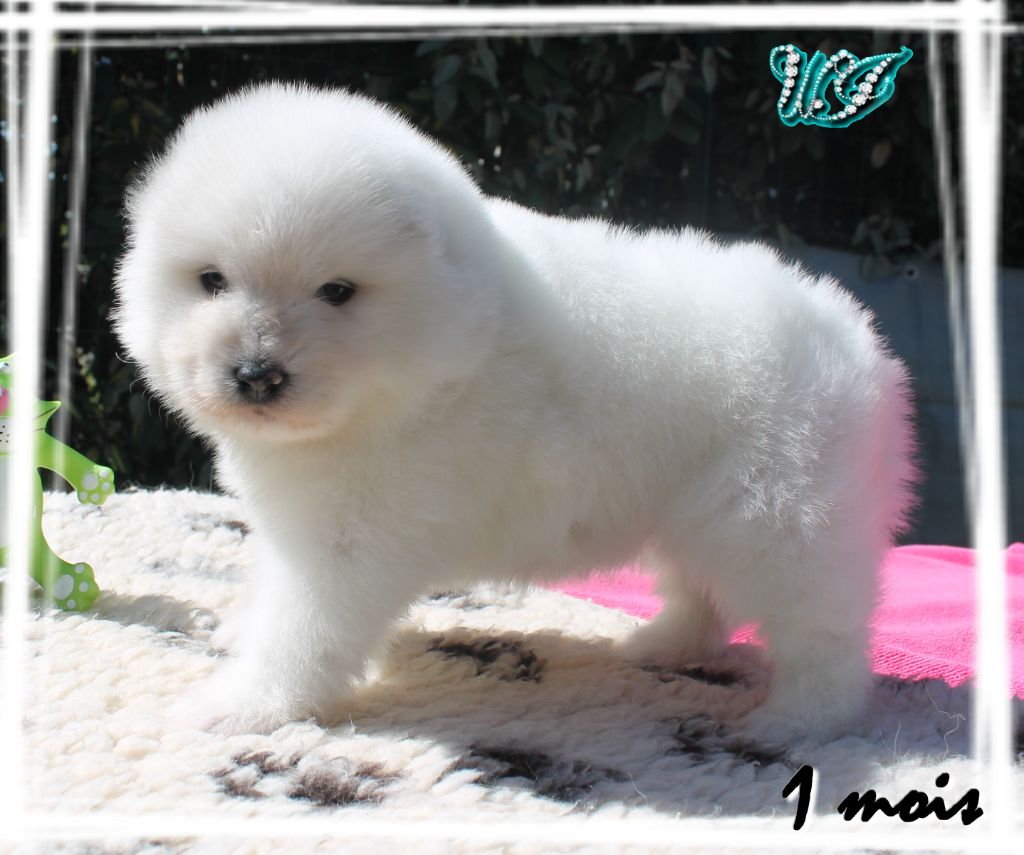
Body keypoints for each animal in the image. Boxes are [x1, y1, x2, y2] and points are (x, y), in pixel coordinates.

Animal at [113, 82, 916, 740]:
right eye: (211, 280)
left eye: (337, 292)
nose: (256, 374)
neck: (436, 349)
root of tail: (857, 339)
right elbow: (269, 588)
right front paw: (237, 632)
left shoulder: (350, 538)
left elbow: (303, 624)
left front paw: (246, 704)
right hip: (699, 504)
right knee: (702, 590)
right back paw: (663, 645)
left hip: (781, 514)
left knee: (822, 629)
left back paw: (796, 720)